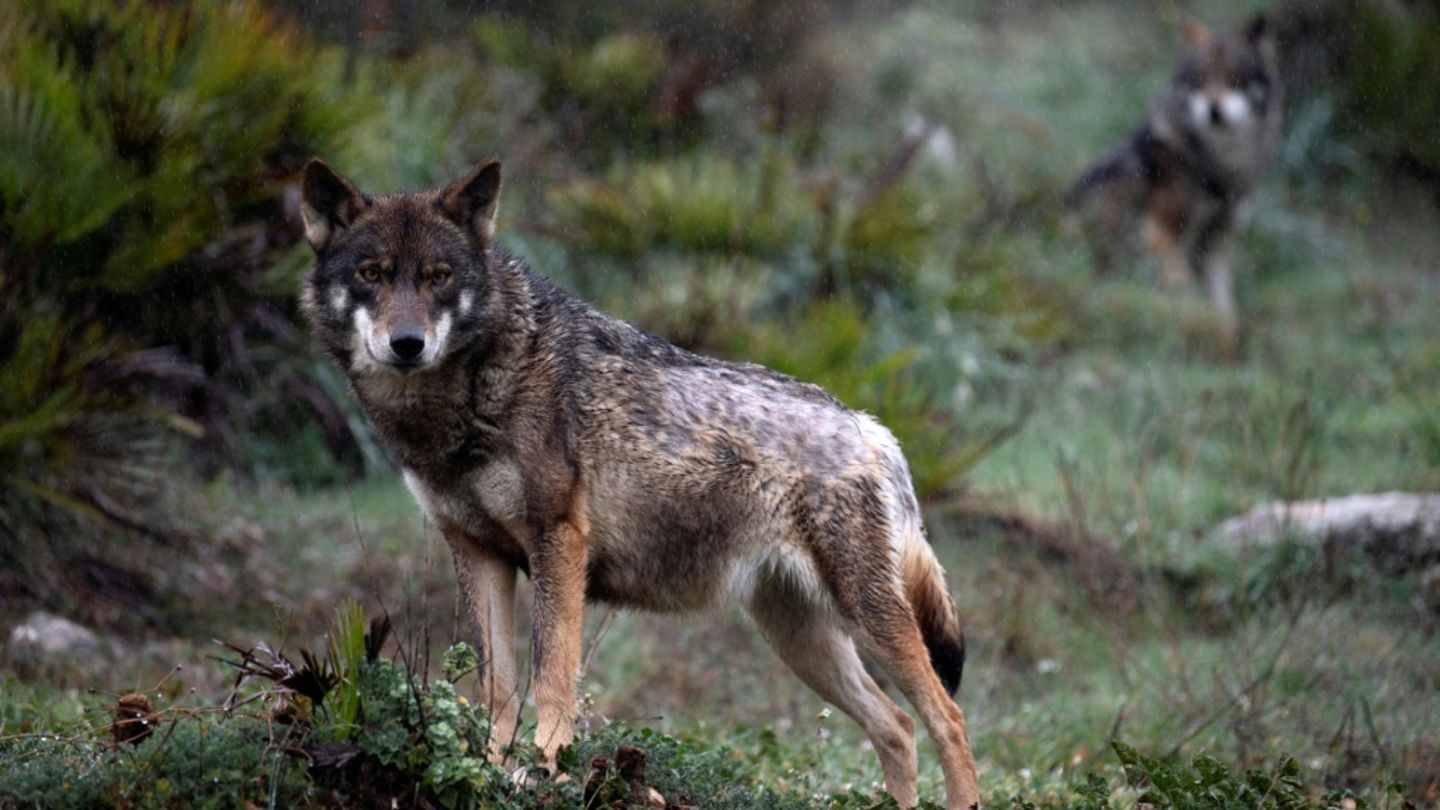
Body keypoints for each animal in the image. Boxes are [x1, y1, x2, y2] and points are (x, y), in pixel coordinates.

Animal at [297, 159, 981, 809]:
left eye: (438, 277)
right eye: (372, 274)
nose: (406, 344)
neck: (466, 396)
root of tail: (869, 426)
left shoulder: (558, 542)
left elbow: (551, 677)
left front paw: (543, 771)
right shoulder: (477, 551)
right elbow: (499, 690)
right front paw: (490, 769)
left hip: (867, 619)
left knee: (947, 719)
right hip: (800, 640)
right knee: (897, 726)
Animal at [1066, 14, 1281, 344]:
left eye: (1234, 79)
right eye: (1200, 80)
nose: (1214, 111)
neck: (1219, 164)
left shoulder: (1218, 239)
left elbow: (1224, 302)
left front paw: (1226, 333)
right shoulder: (1163, 230)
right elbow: (1182, 286)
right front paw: (1195, 321)